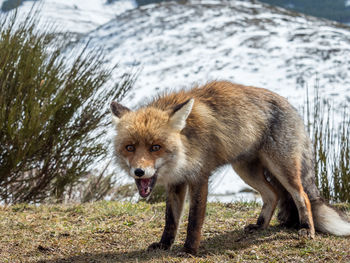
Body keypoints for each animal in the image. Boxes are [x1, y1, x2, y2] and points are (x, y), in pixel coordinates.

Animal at [110, 81, 350, 256]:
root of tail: (290, 105)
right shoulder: (176, 182)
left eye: (155, 147)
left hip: (282, 168)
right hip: (245, 170)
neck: (186, 145)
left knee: (302, 196)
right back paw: (260, 226)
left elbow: (194, 220)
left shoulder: (199, 176)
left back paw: (306, 229)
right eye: (130, 147)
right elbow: (171, 220)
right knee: (272, 194)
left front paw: (189, 250)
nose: (139, 172)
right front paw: (164, 245)